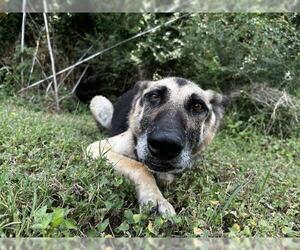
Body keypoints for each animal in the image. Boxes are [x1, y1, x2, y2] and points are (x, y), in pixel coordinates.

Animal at [86, 77, 230, 216]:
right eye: (154, 96)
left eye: (198, 106)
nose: (165, 145)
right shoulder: (97, 148)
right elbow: (140, 166)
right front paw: (156, 198)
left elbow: (166, 175)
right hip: (98, 101)